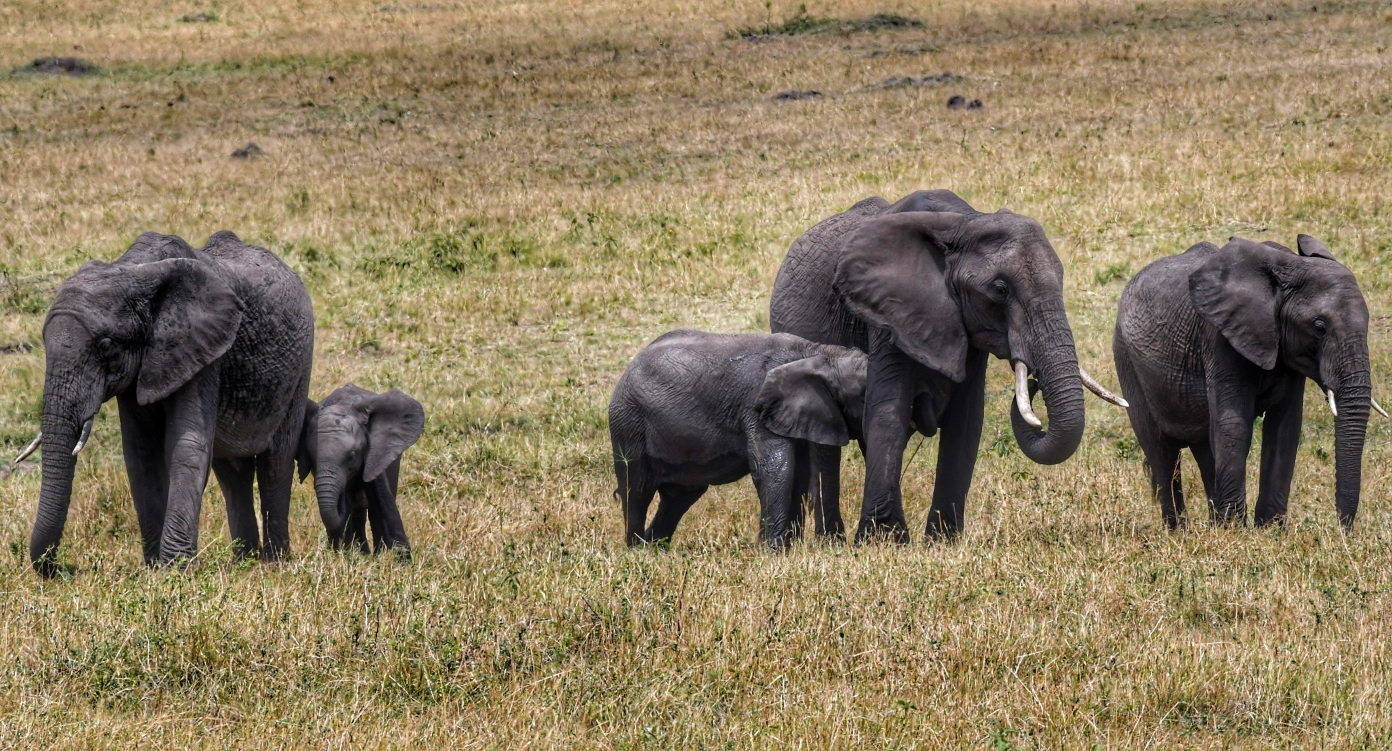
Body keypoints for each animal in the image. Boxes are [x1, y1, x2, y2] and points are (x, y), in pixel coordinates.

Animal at [18, 232, 313, 578]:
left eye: (105, 346)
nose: (63, 569)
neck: (133, 272)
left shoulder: (203, 350)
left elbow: (185, 446)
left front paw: (175, 572)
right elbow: (140, 454)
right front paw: (154, 568)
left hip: (300, 367)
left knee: (276, 463)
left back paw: (274, 563)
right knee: (233, 472)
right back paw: (244, 562)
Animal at [295, 386, 420, 556]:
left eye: (351, 456)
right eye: (311, 457)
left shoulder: (375, 453)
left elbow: (381, 499)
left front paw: (400, 557)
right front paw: (345, 555)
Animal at [612, 330, 863, 547]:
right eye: (863, 395)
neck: (820, 353)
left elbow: (797, 472)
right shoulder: (758, 408)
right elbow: (773, 469)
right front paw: (772, 553)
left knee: (679, 497)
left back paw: (654, 549)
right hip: (628, 422)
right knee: (637, 491)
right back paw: (636, 550)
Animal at [773, 187, 1130, 539]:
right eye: (1000, 290)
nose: (1031, 382)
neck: (964, 222)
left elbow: (967, 420)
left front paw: (941, 541)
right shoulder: (889, 312)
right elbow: (889, 409)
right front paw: (883, 540)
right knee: (827, 443)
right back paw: (831, 540)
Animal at [1108, 235, 1380, 528]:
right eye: (1319, 327)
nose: (1342, 529)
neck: (1288, 267)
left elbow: (1284, 428)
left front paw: (1268, 529)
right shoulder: (1219, 338)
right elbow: (1233, 425)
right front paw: (1235, 530)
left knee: (1204, 449)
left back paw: (1212, 524)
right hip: (1126, 359)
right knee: (1162, 452)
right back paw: (1180, 530)